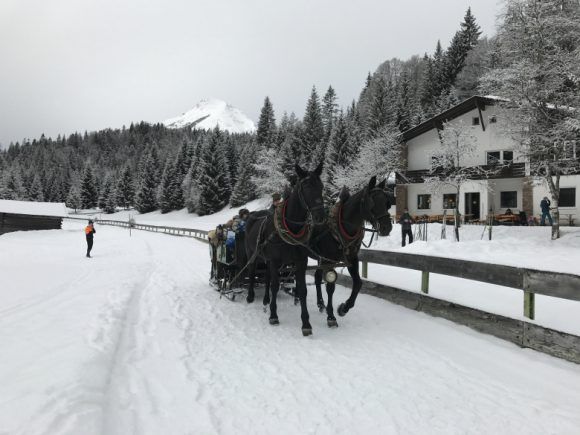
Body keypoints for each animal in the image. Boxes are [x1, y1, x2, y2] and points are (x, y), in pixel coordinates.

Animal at [245, 164, 326, 338]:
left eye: (321, 187)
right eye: (306, 187)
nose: (320, 217)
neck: (291, 228)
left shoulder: (300, 262)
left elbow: (302, 290)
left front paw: (306, 323)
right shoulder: (275, 261)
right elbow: (275, 286)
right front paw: (273, 316)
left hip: (267, 260)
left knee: (267, 278)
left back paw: (266, 301)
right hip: (253, 255)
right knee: (252, 272)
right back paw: (250, 296)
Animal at [310, 177, 392, 328]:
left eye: (387, 202)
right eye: (372, 202)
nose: (386, 227)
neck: (339, 227)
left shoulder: (352, 258)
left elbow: (358, 283)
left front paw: (344, 308)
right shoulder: (329, 260)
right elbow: (330, 287)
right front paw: (331, 316)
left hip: (320, 258)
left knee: (317, 277)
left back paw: (320, 304)